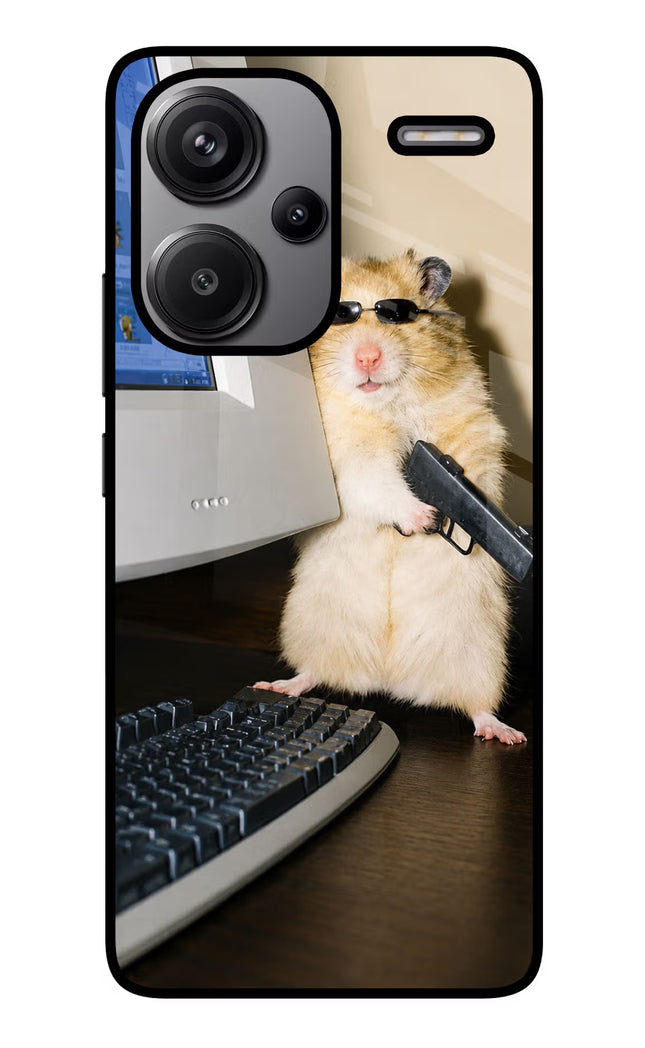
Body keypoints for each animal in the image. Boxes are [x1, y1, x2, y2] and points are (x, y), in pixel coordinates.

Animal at [256, 251, 526, 744]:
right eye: (340, 316)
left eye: (397, 315)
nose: (368, 357)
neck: (386, 404)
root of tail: (388, 679)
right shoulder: (347, 458)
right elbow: (378, 482)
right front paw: (423, 518)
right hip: (311, 626)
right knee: (313, 672)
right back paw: (279, 685)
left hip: (480, 654)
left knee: (477, 706)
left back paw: (504, 733)